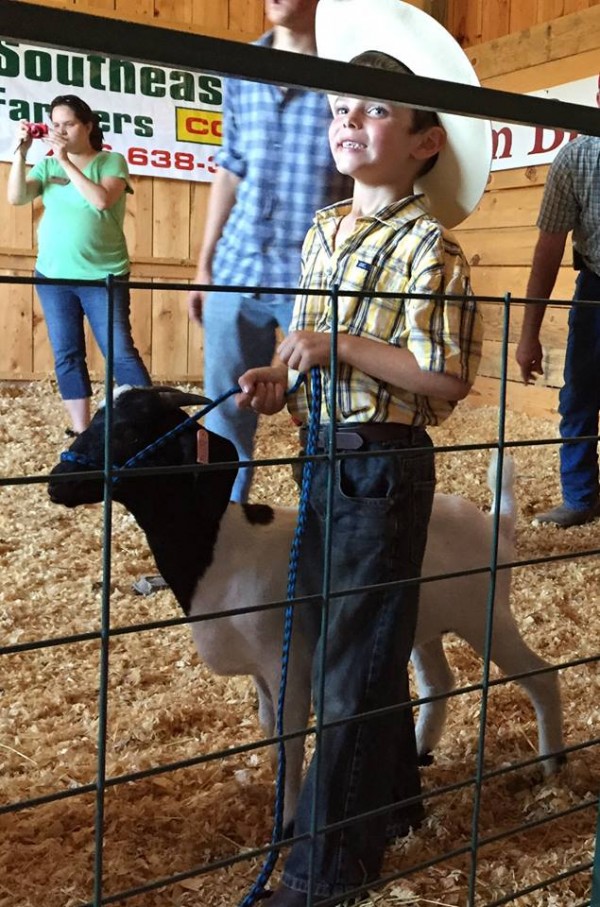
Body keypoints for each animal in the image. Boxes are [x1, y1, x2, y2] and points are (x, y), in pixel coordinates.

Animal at [49, 386, 564, 828]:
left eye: (132, 431)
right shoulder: (260, 669)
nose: (57, 484)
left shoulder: (287, 660)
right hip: (424, 625)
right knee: (439, 682)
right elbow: (269, 728)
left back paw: (552, 765)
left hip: (487, 614)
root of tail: (496, 524)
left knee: (540, 676)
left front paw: (289, 821)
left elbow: (289, 736)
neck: (222, 548)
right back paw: (420, 751)